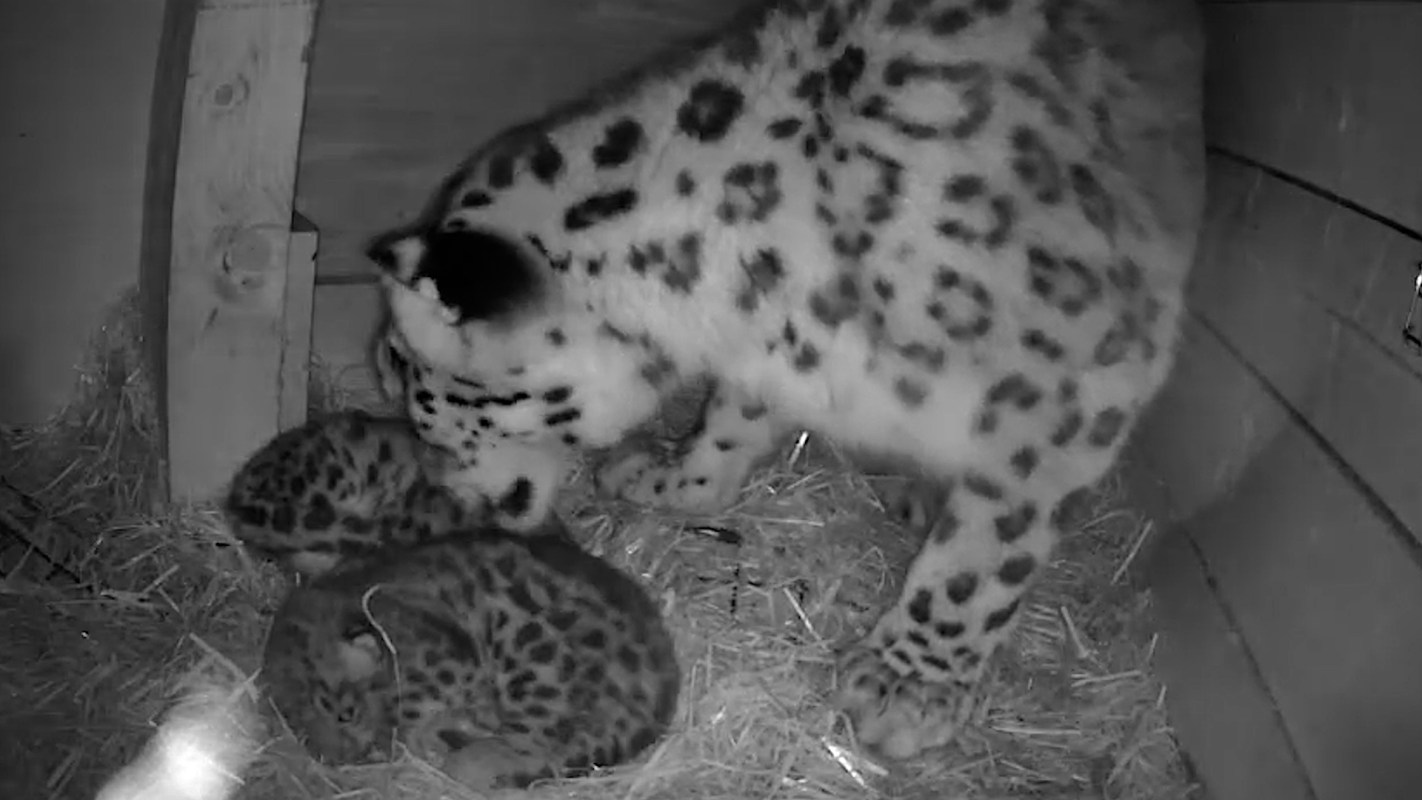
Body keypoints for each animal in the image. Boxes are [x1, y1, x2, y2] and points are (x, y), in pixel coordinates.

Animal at [260, 527, 681, 791]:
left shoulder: (449, 662)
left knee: (537, 744)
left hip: (533, 650)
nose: (339, 760)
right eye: (301, 731)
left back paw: (467, 763)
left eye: (345, 714)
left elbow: (406, 720)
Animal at [362, 0, 1205, 760]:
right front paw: (671, 479)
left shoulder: (1077, 377)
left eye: (416, 387)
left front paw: (909, 685)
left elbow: (990, 543)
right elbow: (731, 422)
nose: (439, 489)